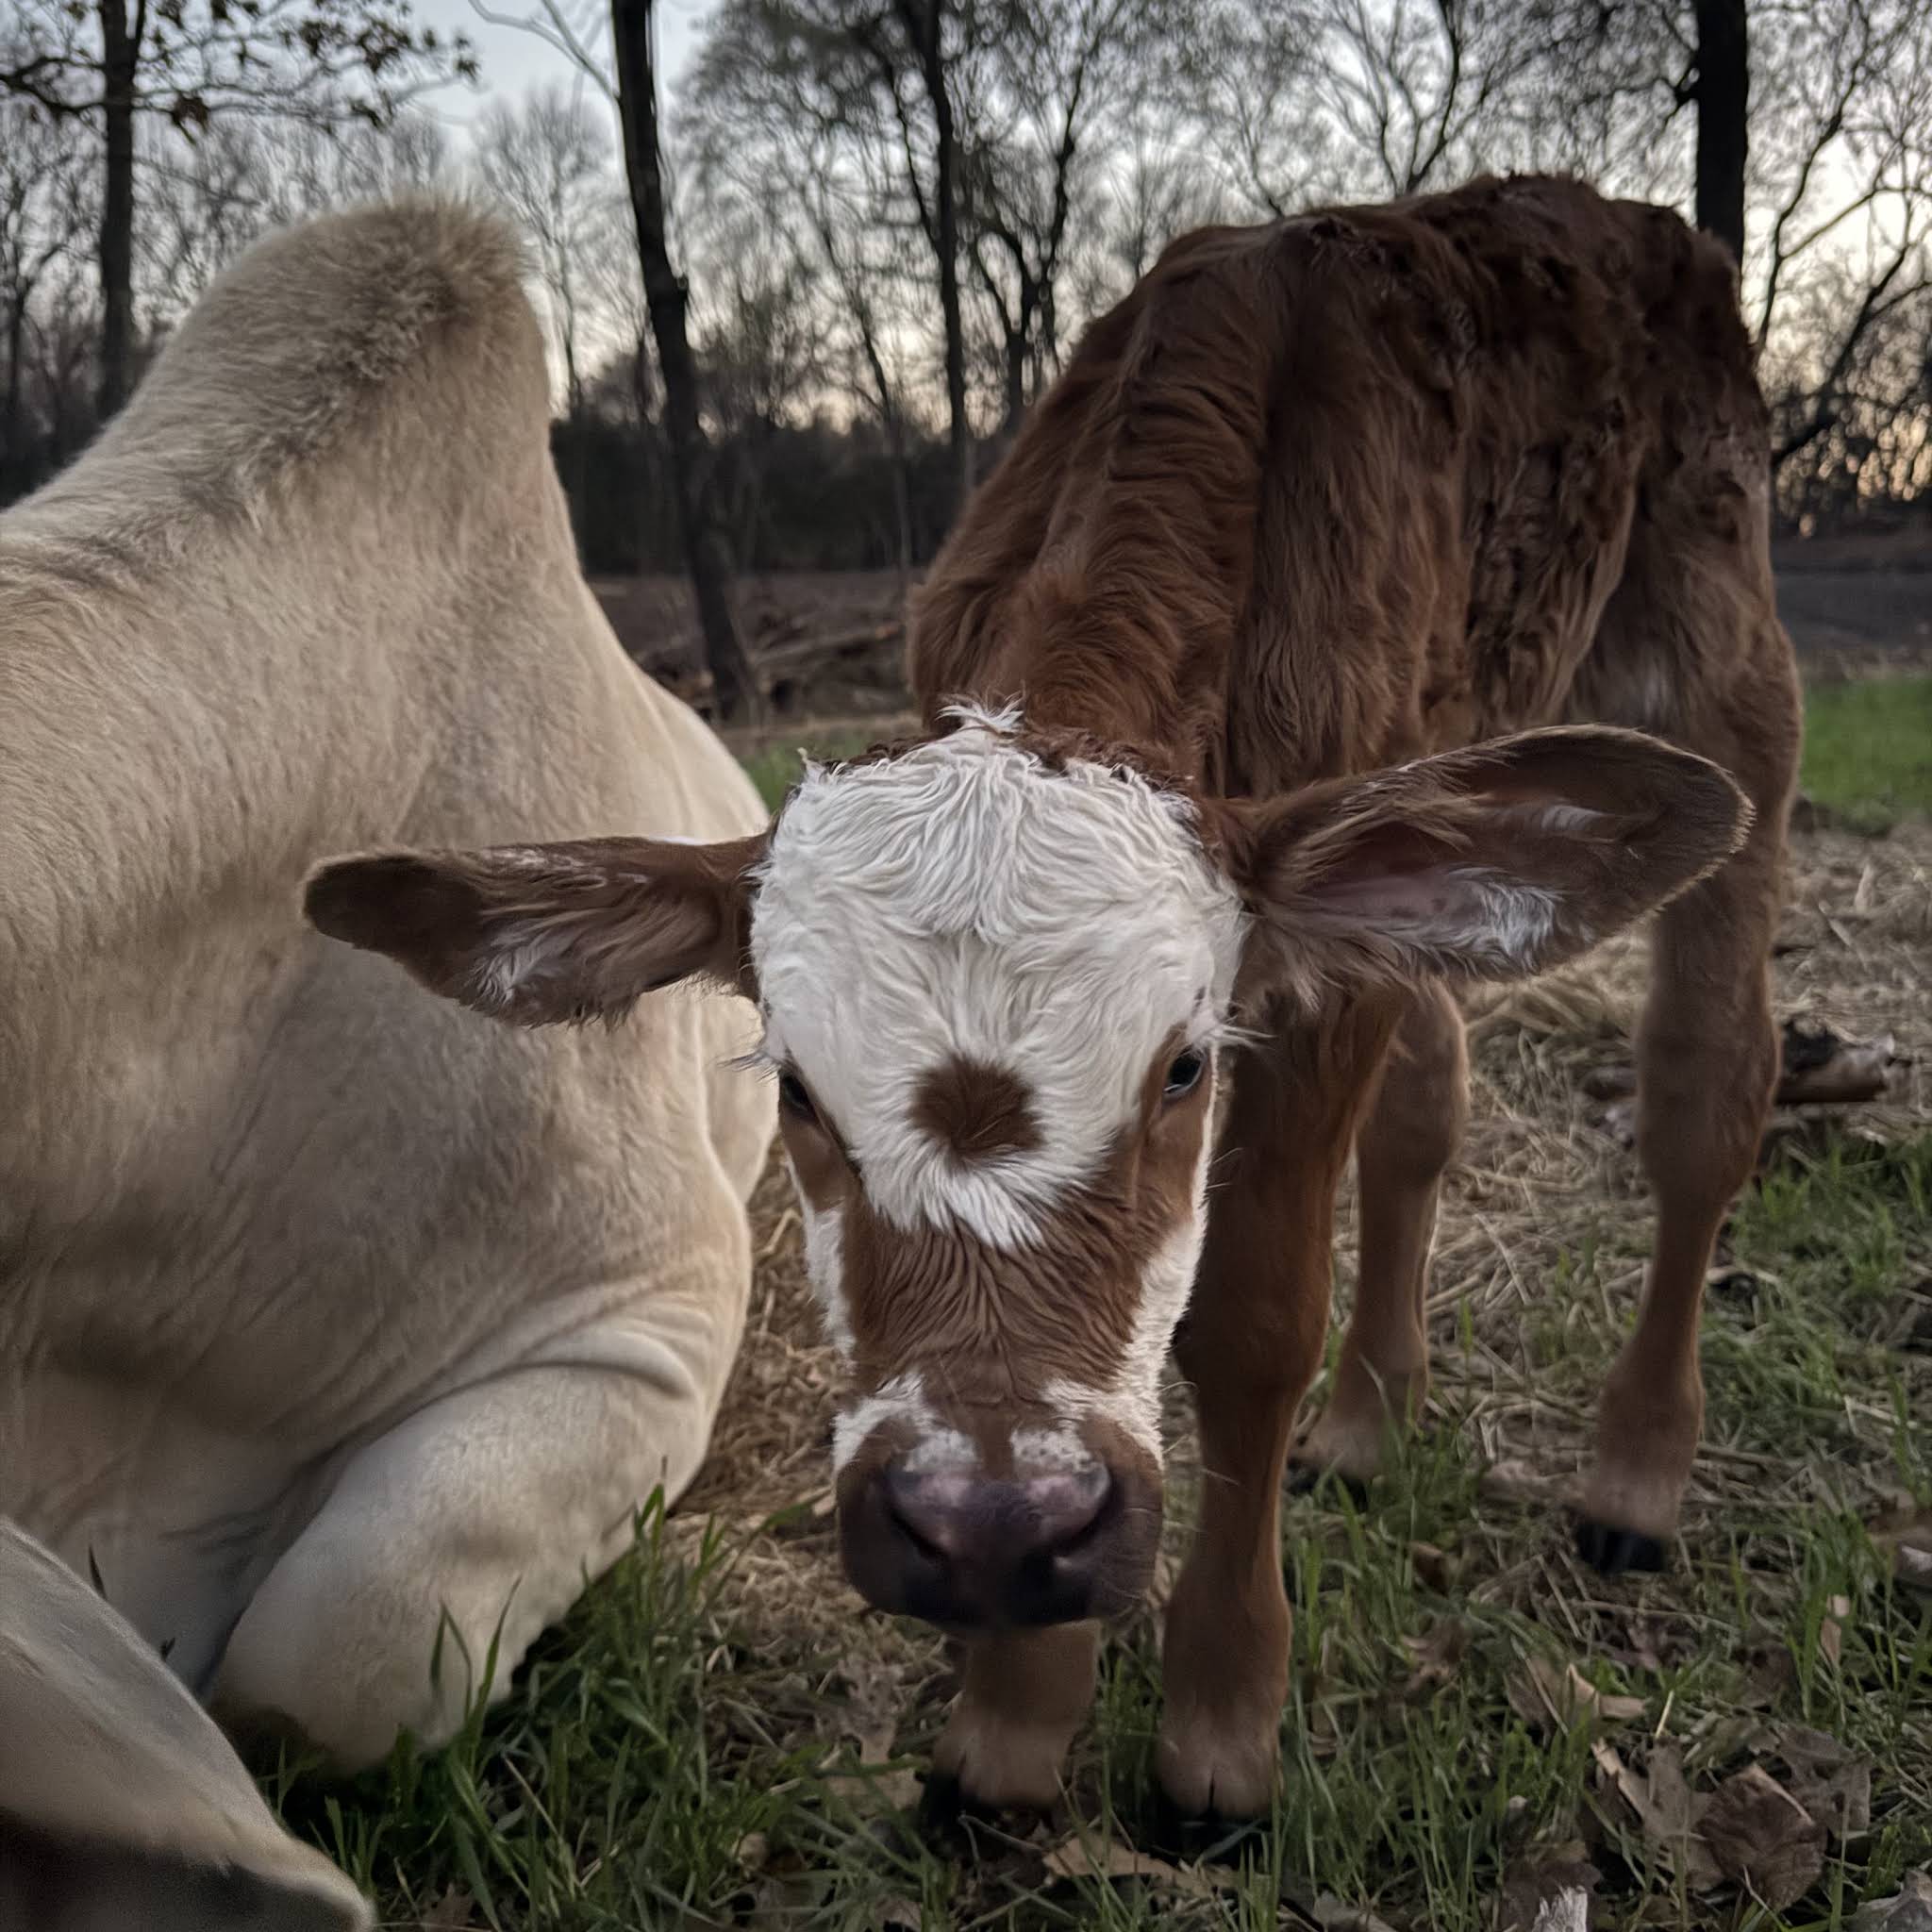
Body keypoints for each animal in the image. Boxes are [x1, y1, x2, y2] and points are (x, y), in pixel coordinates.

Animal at [311, 176, 1801, 1817]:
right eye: (797, 1090)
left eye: (1184, 1069)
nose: (994, 1528)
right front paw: (1015, 1720)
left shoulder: (1306, 967)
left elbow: (1252, 1323)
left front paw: (1222, 1721)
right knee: (1433, 1092)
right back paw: (1371, 1418)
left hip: (1718, 638)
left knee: (1706, 1085)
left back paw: (1636, 1472)